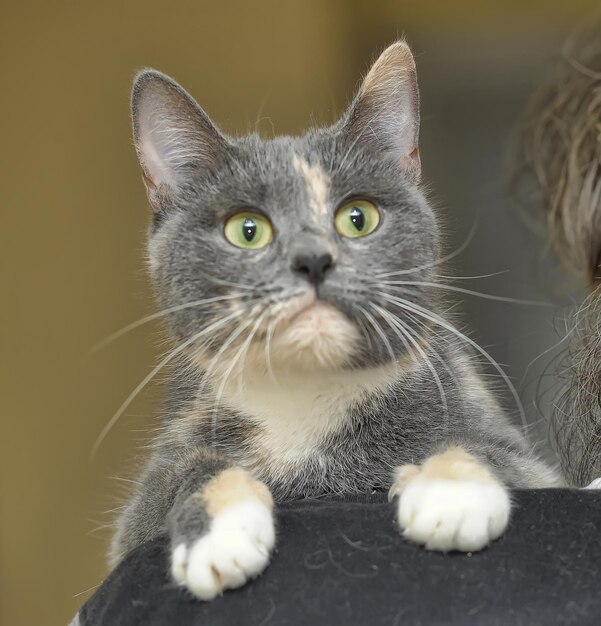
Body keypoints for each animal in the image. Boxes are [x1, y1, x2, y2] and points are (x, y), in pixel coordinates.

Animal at [112, 41, 564, 596]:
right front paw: (221, 530)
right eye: (247, 230)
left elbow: (487, 448)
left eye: (358, 218)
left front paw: (450, 491)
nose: (313, 260)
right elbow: (188, 471)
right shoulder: (146, 501)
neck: (306, 400)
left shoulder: (516, 449)